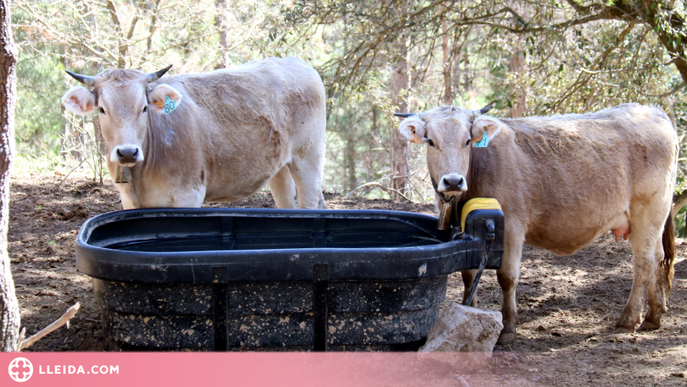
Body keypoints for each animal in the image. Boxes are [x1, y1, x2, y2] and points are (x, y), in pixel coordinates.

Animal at [398, 104, 676, 346]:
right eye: (431, 141)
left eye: (467, 141)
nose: (454, 181)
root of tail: (654, 111)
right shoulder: (466, 230)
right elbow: (468, 272)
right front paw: (468, 310)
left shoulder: (511, 226)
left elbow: (507, 277)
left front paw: (508, 328)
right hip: (654, 219)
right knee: (657, 258)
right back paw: (653, 316)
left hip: (647, 212)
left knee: (644, 263)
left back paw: (628, 320)